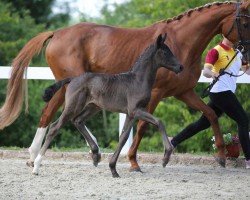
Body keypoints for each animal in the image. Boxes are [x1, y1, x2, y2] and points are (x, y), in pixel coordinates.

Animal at [32, 34, 183, 177]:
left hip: (93, 107)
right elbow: (159, 122)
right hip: (73, 107)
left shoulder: (131, 114)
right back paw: (36, 166)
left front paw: (113, 169)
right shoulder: (136, 110)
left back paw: (95, 155)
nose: (181, 67)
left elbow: (123, 137)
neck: (137, 81)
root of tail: (73, 79)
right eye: (165, 52)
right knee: (54, 127)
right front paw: (166, 157)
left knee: (78, 121)